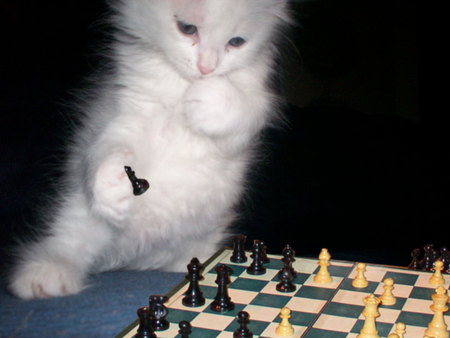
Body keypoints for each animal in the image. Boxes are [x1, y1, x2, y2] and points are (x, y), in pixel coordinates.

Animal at [9, 0, 288, 298]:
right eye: (187, 28)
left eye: (236, 42)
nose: (206, 68)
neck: (180, 86)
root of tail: (139, 256)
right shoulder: (128, 114)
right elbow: (110, 147)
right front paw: (113, 186)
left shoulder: (247, 122)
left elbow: (240, 105)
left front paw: (206, 97)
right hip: (81, 213)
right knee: (68, 241)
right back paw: (44, 275)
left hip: (199, 243)